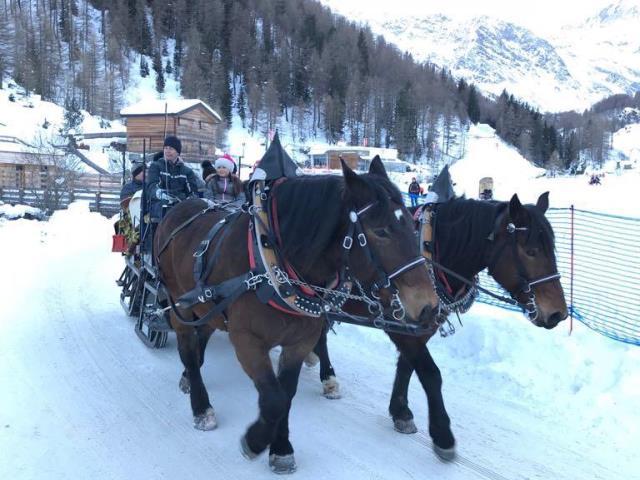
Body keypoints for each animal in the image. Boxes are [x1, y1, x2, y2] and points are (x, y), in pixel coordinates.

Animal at [154, 159, 440, 474]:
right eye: (381, 231)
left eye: (412, 226)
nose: (428, 306)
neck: (271, 263)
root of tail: (178, 207)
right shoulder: (247, 340)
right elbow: (274, 399)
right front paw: (255, 441)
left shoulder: (300, 341)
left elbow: (286, 394)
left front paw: (280, 448)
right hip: (178, 303)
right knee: (188, 349)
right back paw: (200, 404)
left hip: (207, 307)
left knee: (202, 334)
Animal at [308, 191, 568, 462]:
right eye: (531, 251)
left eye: (552, 250)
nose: (558, 313)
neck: (431, 258)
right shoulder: (400, 323)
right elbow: (431, 374)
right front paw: (443, 435)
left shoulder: (419, 327)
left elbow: (406, 367)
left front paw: (400, 411)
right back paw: (327, 377)